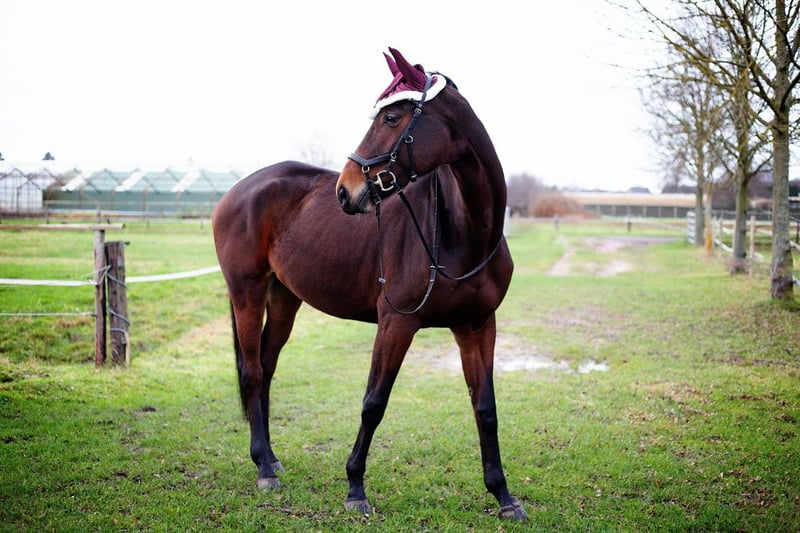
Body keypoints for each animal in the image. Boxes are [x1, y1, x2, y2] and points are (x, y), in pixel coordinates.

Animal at [212, 47, 526, 521]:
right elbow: (373, 404)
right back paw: (264, 470)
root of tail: (238, 190)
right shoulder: (396, 323)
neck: (463, 231)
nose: (346, 190)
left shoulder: (477, 324)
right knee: (251, 371)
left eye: (393, 118)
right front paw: (355, 488)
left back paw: (269, 457)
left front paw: (503, 496)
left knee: (265, 367)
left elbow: (485, 409)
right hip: (246, 293)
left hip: (284, 298)